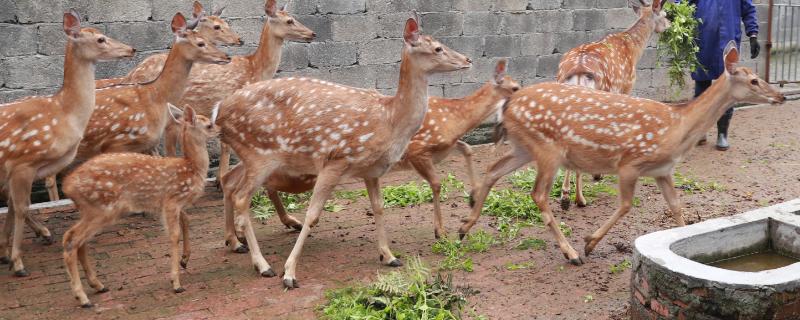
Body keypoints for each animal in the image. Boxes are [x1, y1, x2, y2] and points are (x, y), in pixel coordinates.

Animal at [0, 8, 134, 276]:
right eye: (100, 39)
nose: (132, 49)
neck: (64, 113)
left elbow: (11, 207)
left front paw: (5, 253)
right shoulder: (22, 162)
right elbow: (20, 207)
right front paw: (17, 262)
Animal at [62, 107, 217, 308]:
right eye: (209, 125)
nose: (220, 129)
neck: (191, 168)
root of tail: (67, 186)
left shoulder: (170, 204)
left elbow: (186, 221)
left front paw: (184, 261)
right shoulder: (171, 201)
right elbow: (174, 235)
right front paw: (176, 283)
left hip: (93, 210)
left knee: (79, 241)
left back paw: (98, 285)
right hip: (102, 209)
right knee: (71, 239)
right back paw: (82, 297)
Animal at [216, 15, 472, 288]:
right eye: (437, 48)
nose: (468, 59)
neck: (388, 121)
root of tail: (217, 113)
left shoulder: (371, 170)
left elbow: (378, 207)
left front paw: (389, 256)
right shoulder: (335, 160)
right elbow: (312, 215)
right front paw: (290, 273)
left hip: (252, 155)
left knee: (229, 182)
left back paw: (235, 242)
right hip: (259, 154)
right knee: (241, 197)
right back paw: (263, 265)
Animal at [460, 43, 784, 266]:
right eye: (754, 80)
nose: (780, 95)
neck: (677, 127)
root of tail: (507, 105)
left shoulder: (663, 170)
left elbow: (677, 208)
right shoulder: (630, 162)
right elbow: (627, 205)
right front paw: (590, 243)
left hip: (524, 147)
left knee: (493, 169)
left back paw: (465, 227)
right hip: (548, 149)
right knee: (538, 194)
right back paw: (571, 253)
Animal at [560, 0, 672, 210]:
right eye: (665, 14)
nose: (669, 25)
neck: (634, 50)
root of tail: (578, 71)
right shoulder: (626, 87)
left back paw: (566, 197)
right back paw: (578, 199)